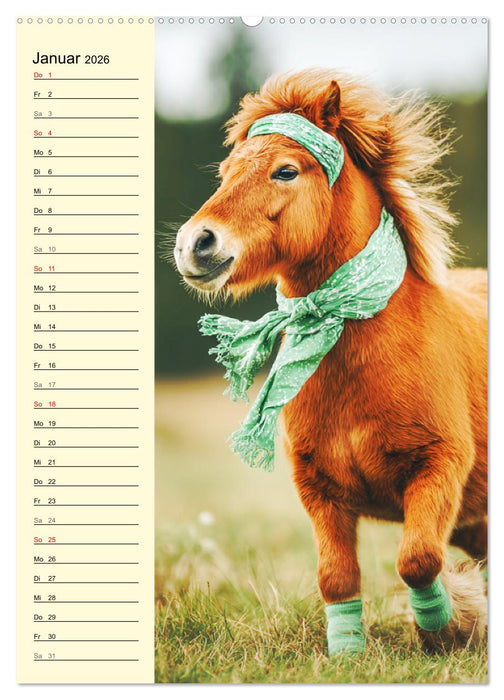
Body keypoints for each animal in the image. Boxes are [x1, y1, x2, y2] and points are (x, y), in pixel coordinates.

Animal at [174, 69, 487, 655]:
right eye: (225, 173)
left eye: (286, 170)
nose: (194, 244)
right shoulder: (320, 490)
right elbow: (336, 577)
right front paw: (346, 653)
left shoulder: (438, 468)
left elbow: (418, 560)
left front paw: (449, 625)